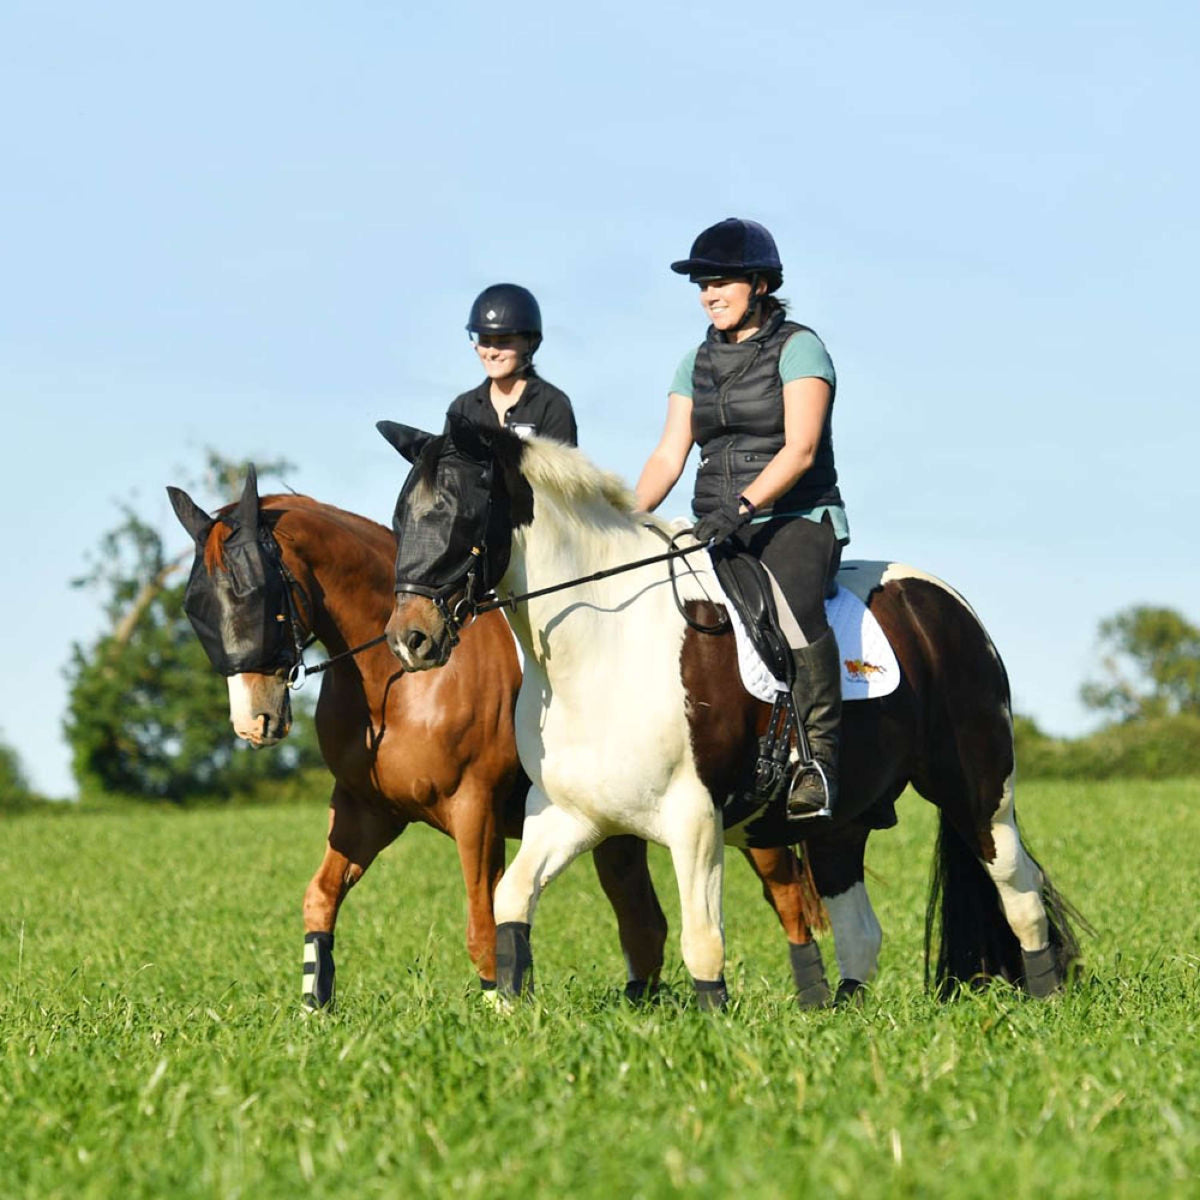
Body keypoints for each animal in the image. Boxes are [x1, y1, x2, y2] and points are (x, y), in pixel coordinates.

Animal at [166, 472, 825, 1008]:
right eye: (195, 606)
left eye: (252, 593)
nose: (253, 722)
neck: (400, 682)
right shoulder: (366, 811)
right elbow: (320, 898)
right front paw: (313, 1009)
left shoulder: (473, 811)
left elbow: (482, 925)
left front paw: (497, 1006)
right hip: (618, 829)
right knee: (645, 922)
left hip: (741, 818)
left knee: (788, 901)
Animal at [379, 417, 1084, 1008]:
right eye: (401, 516)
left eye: (460, 512)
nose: (410, 639)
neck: (605, 644)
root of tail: (945, 603)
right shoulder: (569, 816)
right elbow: (511, 901)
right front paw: (506, 1013)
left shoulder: (693, 819)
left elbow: (703, 940)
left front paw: (711, 1028)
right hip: (839, 821)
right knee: (861, 929)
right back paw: (844, 1015)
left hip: (978, 791)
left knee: (1019, 890)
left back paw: (1046, 1001)